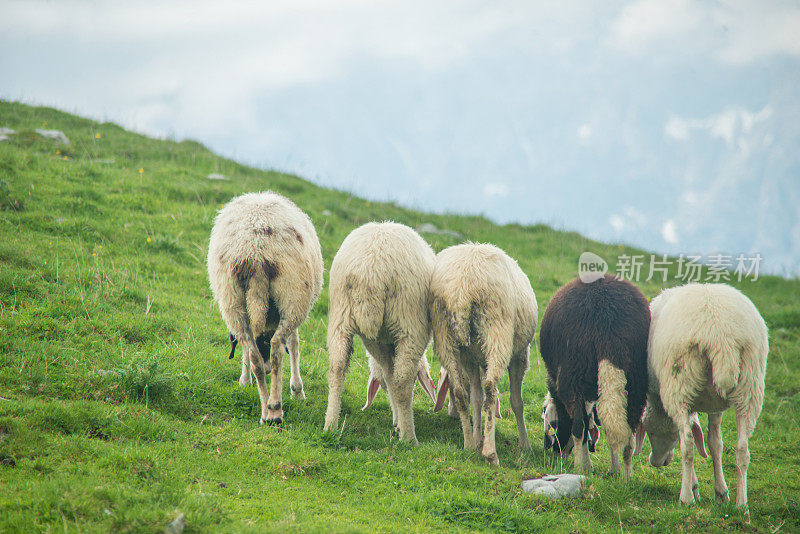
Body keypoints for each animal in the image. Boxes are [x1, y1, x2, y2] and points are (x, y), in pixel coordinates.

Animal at [208, 193, 324, 428]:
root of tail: (256, 254)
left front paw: (244, 381)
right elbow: (294, 345)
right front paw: (297, 391)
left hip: (232, 300)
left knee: (254, 354)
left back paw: (265, 413)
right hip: (293, 295)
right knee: (277, 347)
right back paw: (275, 410)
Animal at [324, 222, 438, 444]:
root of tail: (371, 271)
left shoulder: (380, 342)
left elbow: (388, 375)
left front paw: (397, 423)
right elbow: (395, 379)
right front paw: (400, 425)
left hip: (342, 316)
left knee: (337, 368)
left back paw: (330, 425)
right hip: (410, 323)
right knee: (402, 382)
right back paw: (410, 439)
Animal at [428, 245, 536, 466]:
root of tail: (461, 290)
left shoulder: (470, 359)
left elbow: (475, 398)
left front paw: (478, 438)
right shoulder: (520, 356)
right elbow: (516, 401)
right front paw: (525, 445)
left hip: (446, 337)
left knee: (461, 393)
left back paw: (469, 444)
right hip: (497, 333)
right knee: (490, 391)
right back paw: (490, 453)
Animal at [536, 276, 648, 478]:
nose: (556, 451)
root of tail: (607, 321)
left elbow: (584, 424)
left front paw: (586, 465)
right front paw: (615, 471)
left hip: (573, 375)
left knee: (579, 427)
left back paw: (581, 467)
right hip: (637, 382)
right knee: (628, 429)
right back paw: (627, 476)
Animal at [636, 282, 768, 508]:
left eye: (650, 432)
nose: (657, 462)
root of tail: (721, 336)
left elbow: (692, 439)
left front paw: (693, 488)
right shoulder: (715, 404)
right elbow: (715, 444)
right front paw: (721, 493)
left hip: (679, 383)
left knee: (688, 446)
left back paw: (686, 499)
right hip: (750, 386)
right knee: (742, 450)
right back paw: (742, 505)